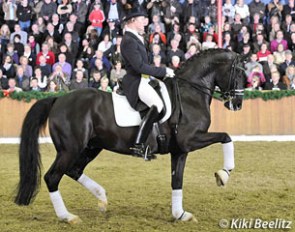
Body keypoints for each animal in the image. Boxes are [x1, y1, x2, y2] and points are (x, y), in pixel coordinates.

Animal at [15, 48, 246, 223]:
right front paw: (223, 174)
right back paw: (67, 217)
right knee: (52, 177)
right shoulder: (190, 140)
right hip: (69, 149)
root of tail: (58, 99)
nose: (237, 104)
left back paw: (102, 198)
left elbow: (177, 180)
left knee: (74, 170)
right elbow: (226, 136)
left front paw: (180, 214)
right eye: (239, 73)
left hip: (91, 147)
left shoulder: (180, 150)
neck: (189, 94)